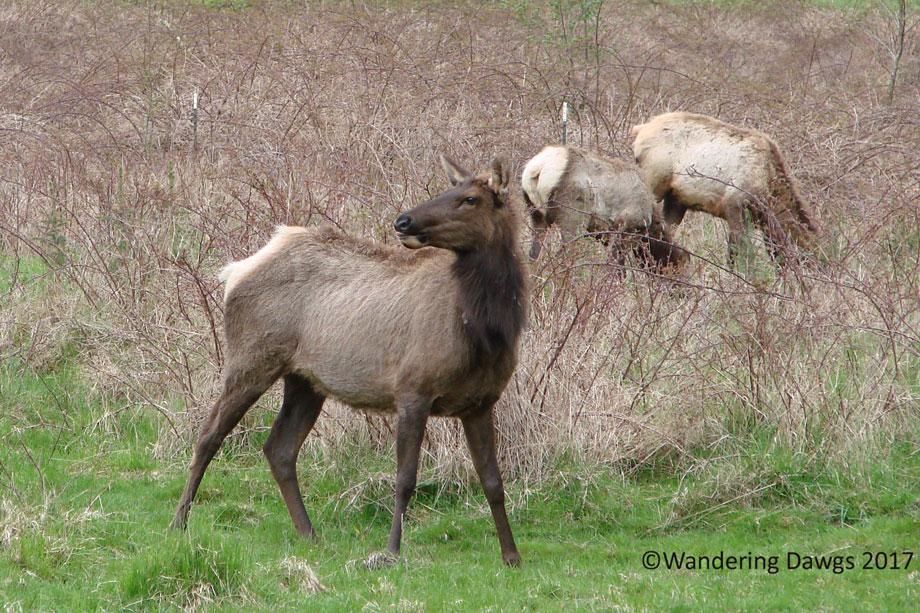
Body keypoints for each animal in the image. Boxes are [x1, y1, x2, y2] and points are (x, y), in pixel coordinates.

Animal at [170, 155, 528, 568]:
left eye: (469, 199)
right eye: (447, 189)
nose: (403, 221)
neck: (483, 331)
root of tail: (235, 271)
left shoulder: (481, 402)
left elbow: (493, 481)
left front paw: (512, 556)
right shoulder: (412, 389)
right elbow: (405, 479)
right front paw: (391, 551)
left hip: (305, 380)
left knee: (279, 448)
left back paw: (308, 533)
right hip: (252, 357)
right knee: (209, 435)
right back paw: (178, 523)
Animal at [631, 112, 820, 266]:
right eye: (807, 260)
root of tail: (639, 130)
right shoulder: (734, 203)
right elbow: (737, 253)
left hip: (676, 198)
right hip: (654, 183)